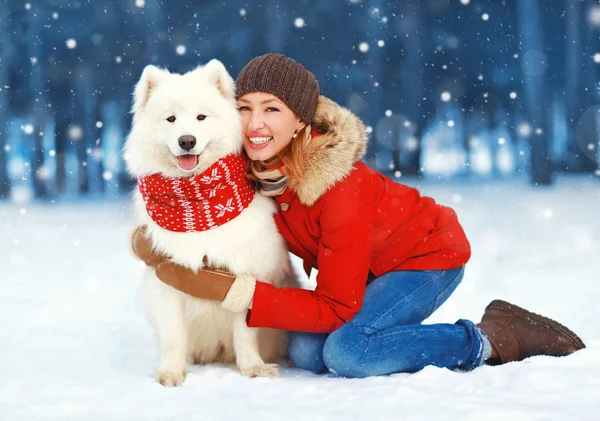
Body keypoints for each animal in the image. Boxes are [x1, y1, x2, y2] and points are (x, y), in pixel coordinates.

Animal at [123, 60, 298, 386]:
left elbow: (245, 334)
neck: (199, 205)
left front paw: (253, 369)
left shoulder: (245, 275)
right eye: (171, 119)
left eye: (201, 117)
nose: (187, 140)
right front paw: (171, 373)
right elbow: (174, 336)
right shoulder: (167, 279)